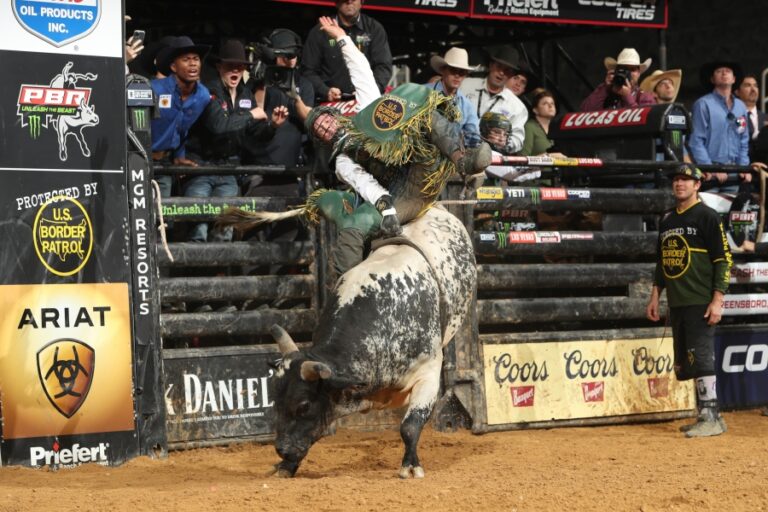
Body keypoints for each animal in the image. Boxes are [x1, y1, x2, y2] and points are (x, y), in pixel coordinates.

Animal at [268, 205, 476, 479]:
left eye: (304, 406)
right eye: (276, 400)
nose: (281, 449)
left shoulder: (428, 373)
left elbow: (410, 426)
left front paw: (410, 466)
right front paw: (285, 467)